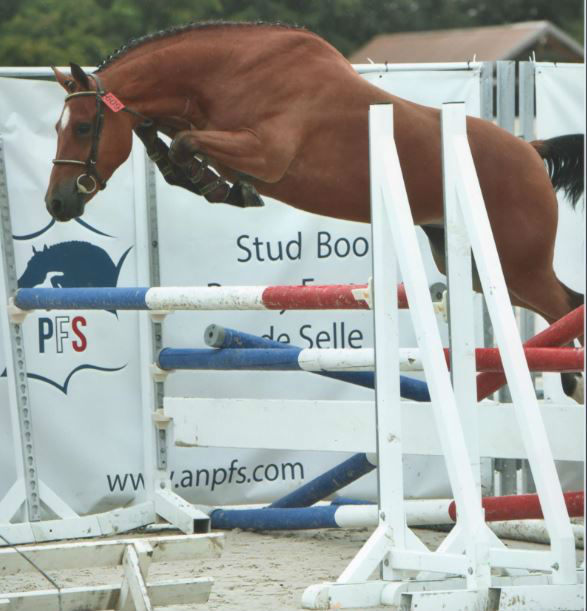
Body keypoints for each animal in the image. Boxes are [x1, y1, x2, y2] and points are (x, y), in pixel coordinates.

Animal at [44, 20, 584, 396]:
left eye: (85, 128)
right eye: (58, 127)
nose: (58, 201)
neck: (229, 72)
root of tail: (530, 149)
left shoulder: (266, 154)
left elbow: (185, 145)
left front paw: (222, 186)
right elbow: (171, 140)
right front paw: (208, 179)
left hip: (518, 263)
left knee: (565, 304)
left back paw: (573, 383)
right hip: (477, 267)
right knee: (561, 304)